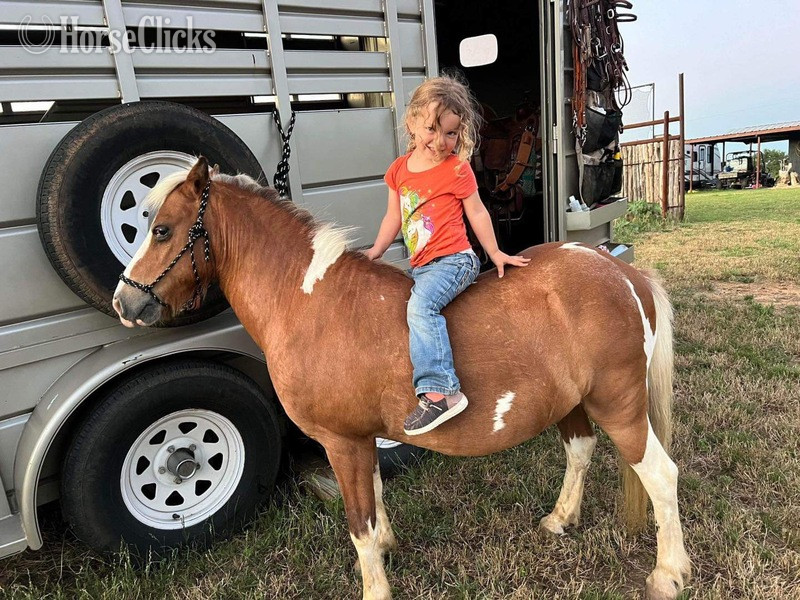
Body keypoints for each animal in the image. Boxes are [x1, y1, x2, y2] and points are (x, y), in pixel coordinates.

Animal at [113, 157, 690, 600]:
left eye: (161, 230)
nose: (123, 302)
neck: (310, 302)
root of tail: (622, 273)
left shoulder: (341, 442)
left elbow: (359, 524)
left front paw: (375, 587)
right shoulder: (360, 438)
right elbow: (373, 499)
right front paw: (388, 549)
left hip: (619, 404)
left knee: (661, 475)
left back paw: (667, 573)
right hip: (573, 402)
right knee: (580, 450)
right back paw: (560, 519)